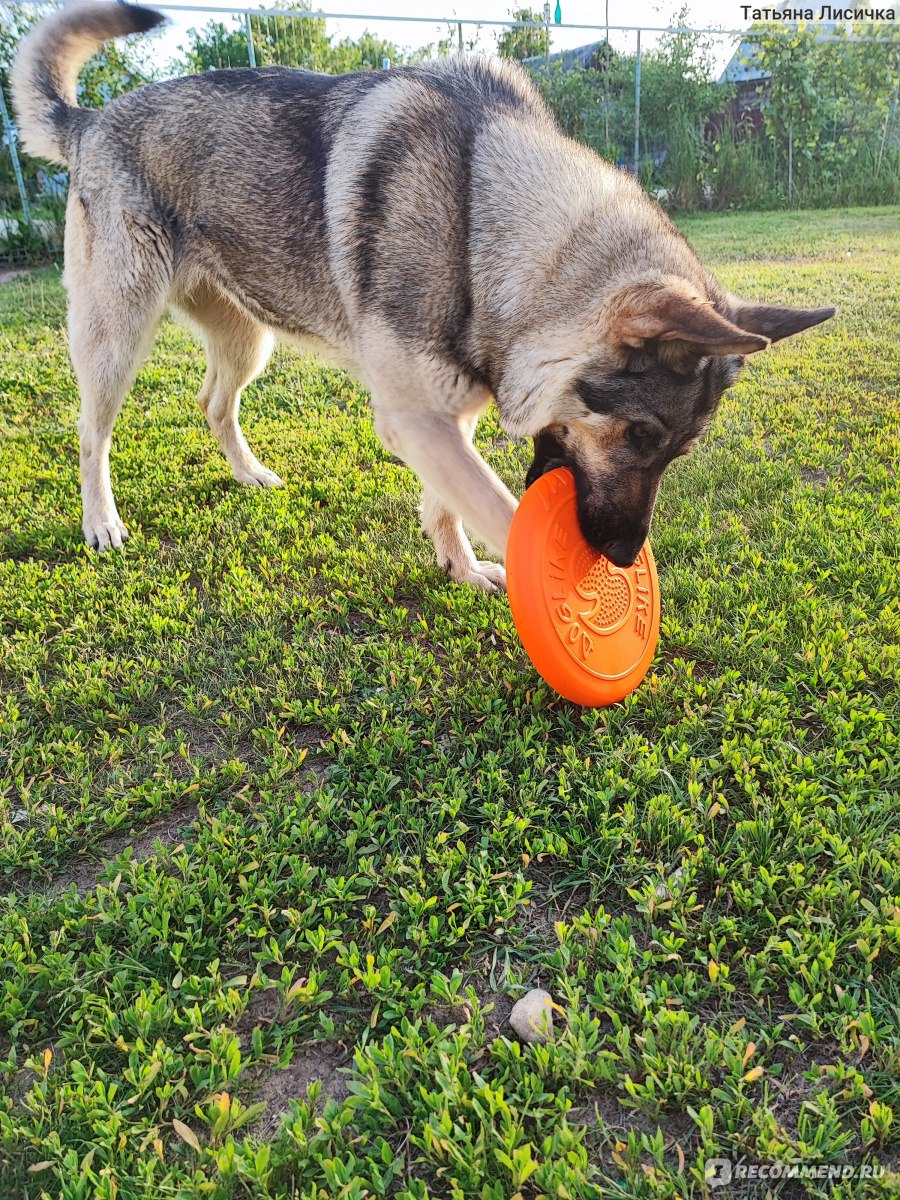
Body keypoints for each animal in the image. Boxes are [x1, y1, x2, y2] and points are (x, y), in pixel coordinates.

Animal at [12, 3, 840, 590]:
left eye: (678, 450)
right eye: (638, 436)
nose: (621, 556)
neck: (482, 230)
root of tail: (92, 121)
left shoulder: (451, 411)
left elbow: (447, 504)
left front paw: (462, 569)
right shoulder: (417, 417)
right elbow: (496, 508)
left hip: (250, 338)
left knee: (214, 401)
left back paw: (250, 475)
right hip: (118, 338)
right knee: (90, 434)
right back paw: (101, 522)